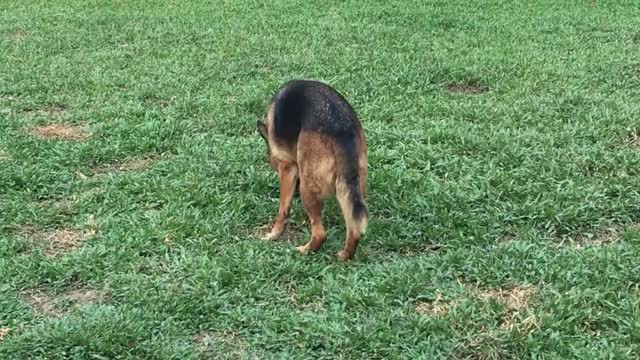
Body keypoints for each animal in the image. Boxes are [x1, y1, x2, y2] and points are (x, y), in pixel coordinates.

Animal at [256, 80, 368, 260]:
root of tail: (341, 129)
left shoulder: (287, 167)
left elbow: (283, 209)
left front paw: (274, 234)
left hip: (308, 187)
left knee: (320, 234)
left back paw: (304, 250)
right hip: (350, 185)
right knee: (354, 227)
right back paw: (345, 255)